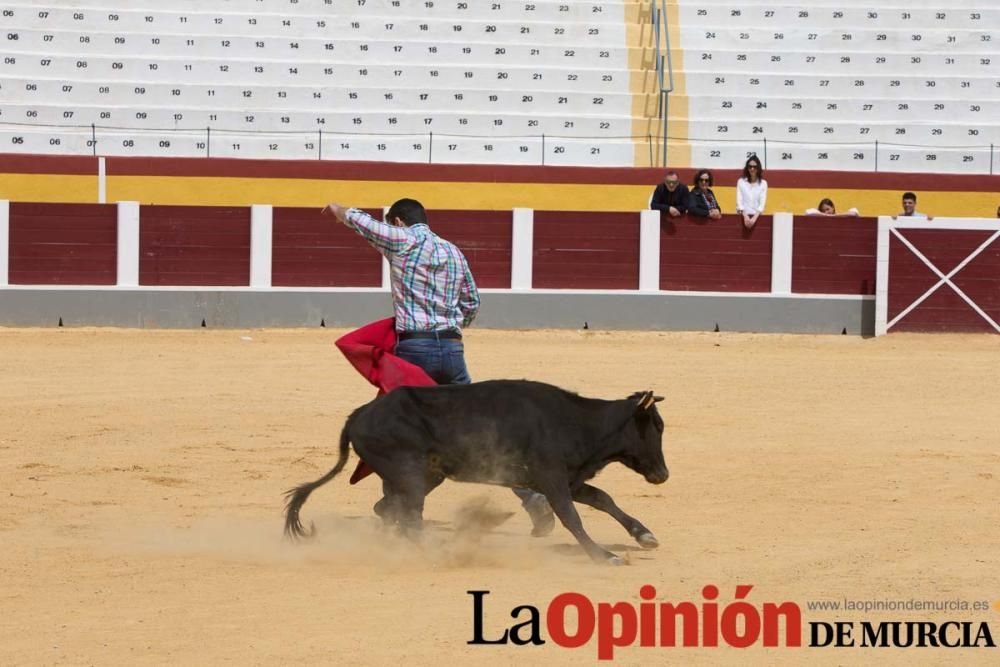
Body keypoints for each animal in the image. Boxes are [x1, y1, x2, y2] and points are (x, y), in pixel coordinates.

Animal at [286, 380, 668, 564]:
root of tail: (359, 415)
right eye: (657, 426)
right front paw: (605, 556)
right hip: (410, 475)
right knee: (408, 517)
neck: (576, 422)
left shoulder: (570, 480)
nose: (663, 474)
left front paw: (645, 536)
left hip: (422, 477)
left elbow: (603, 499)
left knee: (388, 510)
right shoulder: (553, 479)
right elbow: (572, 517)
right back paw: (435, 552)